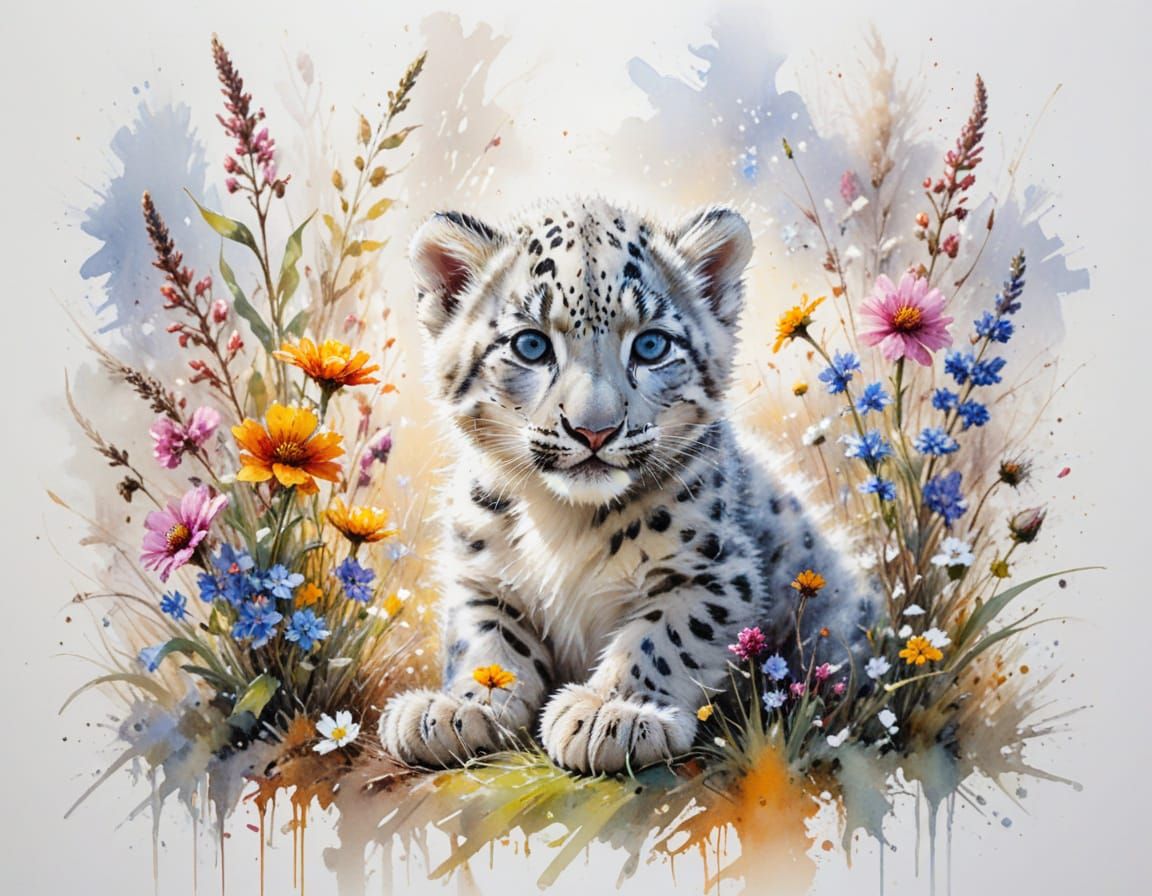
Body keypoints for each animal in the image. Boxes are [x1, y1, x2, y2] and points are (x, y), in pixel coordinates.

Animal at [378, 198, 875, 775]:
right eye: (531, 345)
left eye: (652, 344)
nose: (594, 429)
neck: (562, 520)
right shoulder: (481, 572)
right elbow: (483, 640)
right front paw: (457, 708)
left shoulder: (713, 570)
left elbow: (665, 634)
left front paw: (611, 712)